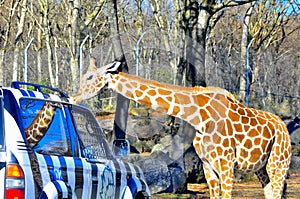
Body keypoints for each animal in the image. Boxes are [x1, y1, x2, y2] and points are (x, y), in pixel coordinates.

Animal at [70, 58, 290, 198]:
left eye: (89, 77)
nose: (73, 97)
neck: (198, 117)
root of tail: (284, 127)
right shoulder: (208, 164)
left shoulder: (226, 164)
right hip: (262, 167)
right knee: (271, 192)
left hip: (278, 163)